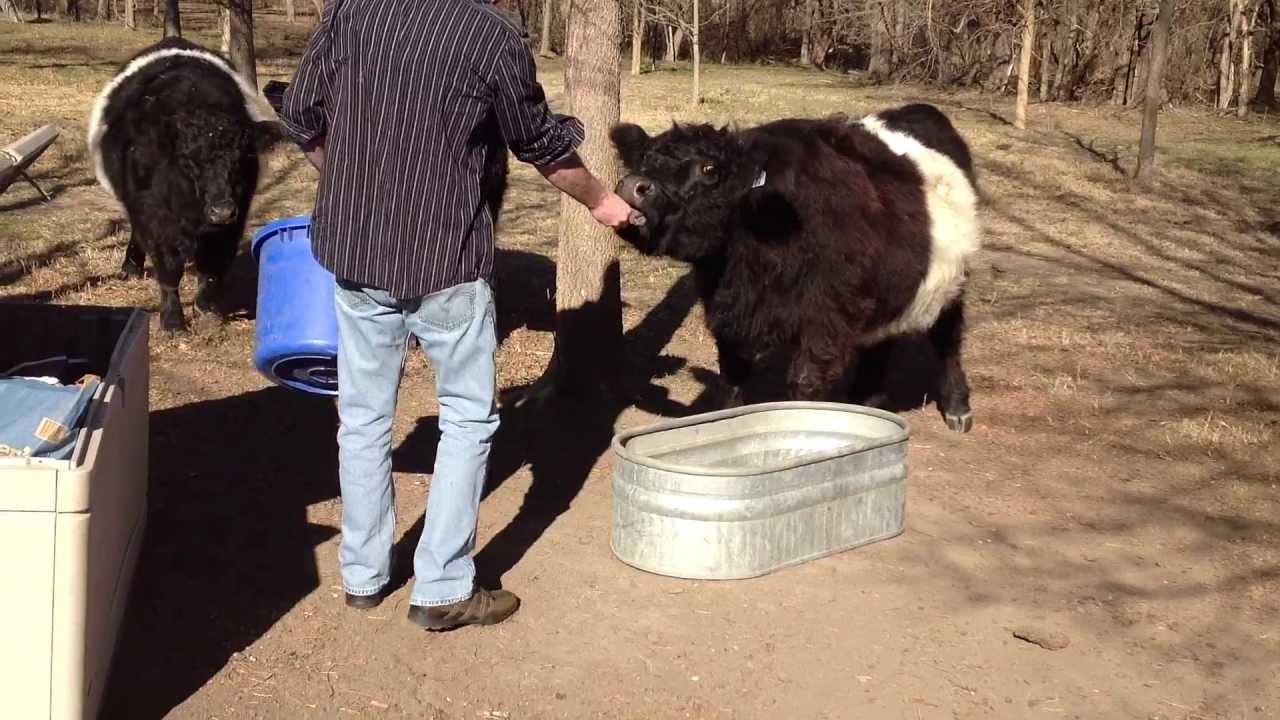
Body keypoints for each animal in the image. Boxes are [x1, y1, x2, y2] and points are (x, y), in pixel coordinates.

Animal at [87, 37, 282, 333]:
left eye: (241, 158)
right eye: (187, 161)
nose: (221, 211)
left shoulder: (233, 220)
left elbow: (212, 265)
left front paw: (207, 308)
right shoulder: (153, 213)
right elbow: (168, 268)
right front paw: (172, 320)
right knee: (137, 233)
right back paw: (131, 267)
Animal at [610, 104, 981, 432]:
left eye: (709, 170)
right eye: (644, 157)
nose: (632, 186)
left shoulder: (826, 319)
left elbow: (805, 385)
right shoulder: (728, 319)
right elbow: (731, 381)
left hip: (952, 277)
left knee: (948, 336)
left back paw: (957, 406)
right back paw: (867, 401)